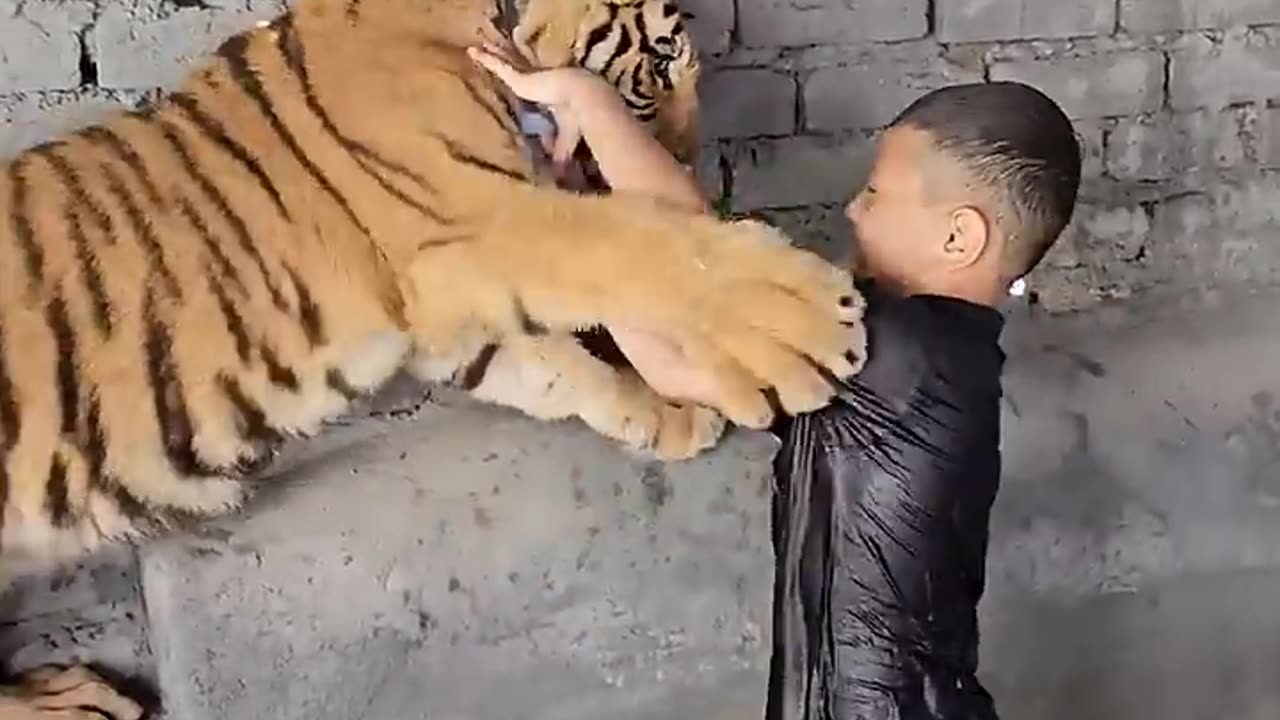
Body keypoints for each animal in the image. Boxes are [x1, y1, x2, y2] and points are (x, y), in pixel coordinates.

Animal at [0, 0, 870, 712]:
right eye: (660, 60)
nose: (690, 158)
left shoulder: (452, 312)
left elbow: (566, 372)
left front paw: (675, 417)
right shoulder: (478, 223)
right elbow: (640, 247)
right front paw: (810, 324)